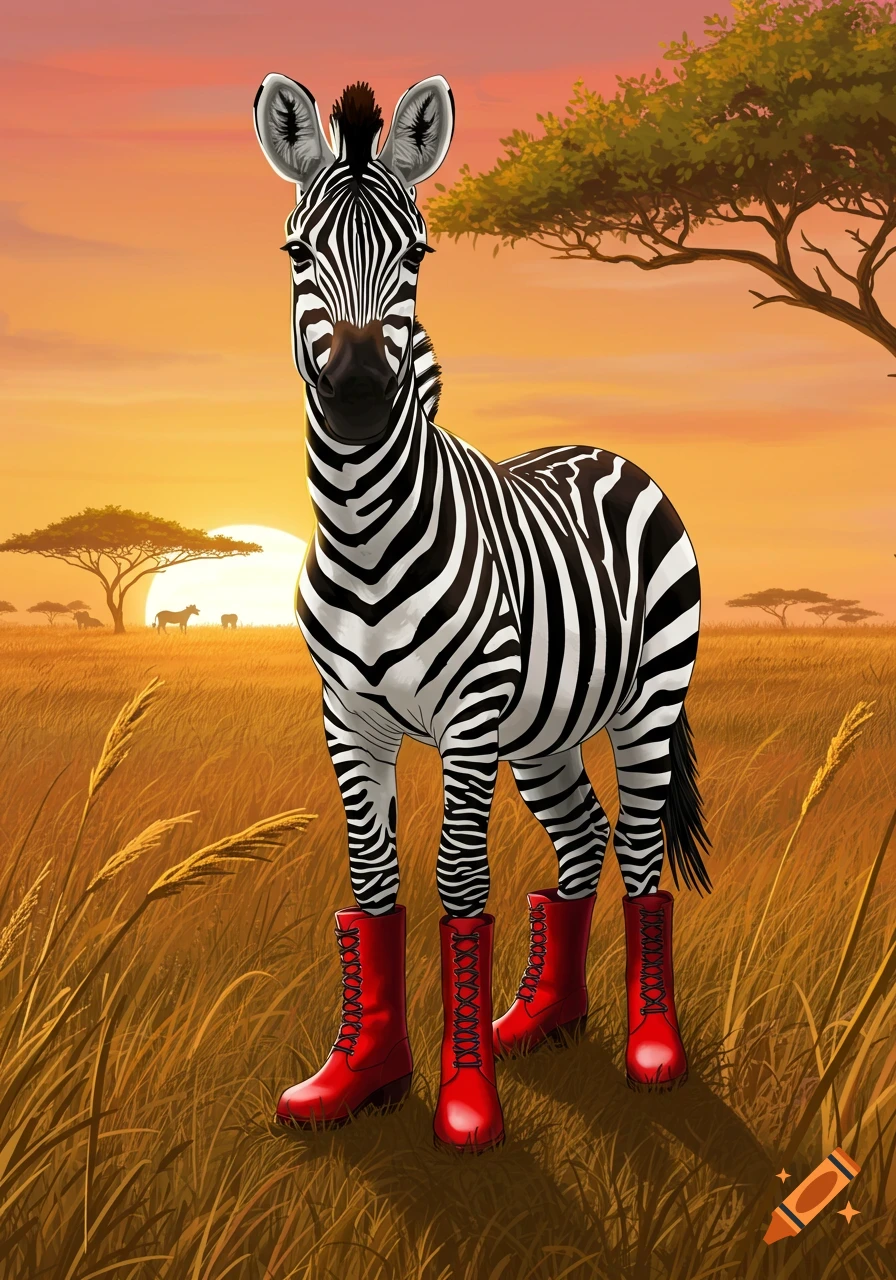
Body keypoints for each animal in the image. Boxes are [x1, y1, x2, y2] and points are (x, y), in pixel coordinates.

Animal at [254, 74, 710, 1153]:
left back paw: (649, 1049)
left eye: (418, 255)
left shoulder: (466, 718)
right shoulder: (347, 718)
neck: (366, 527)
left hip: (646, 701)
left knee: (638, 855)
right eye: (296, 253)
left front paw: (467, 1105)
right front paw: (357, 1077)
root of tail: (603, 451)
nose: (360, 396)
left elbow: (459, 882)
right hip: (543, 728)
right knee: (581, 840)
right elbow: (372, 882)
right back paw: (542, 1017)